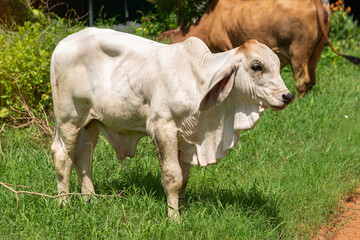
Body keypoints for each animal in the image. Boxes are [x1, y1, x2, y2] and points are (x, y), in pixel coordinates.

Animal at [50, 27, 292, 218]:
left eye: (277, 65)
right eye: (257, 66)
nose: (287, 96)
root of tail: (62, 44)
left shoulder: (186, 138)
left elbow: (184, 178)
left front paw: (181, 209)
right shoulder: (162, 128)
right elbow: (173, 177)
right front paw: (174, 218)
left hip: (89, 121)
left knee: (83, 156)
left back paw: (90, 200)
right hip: (68, 117)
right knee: (62, 156)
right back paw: (64, 204)